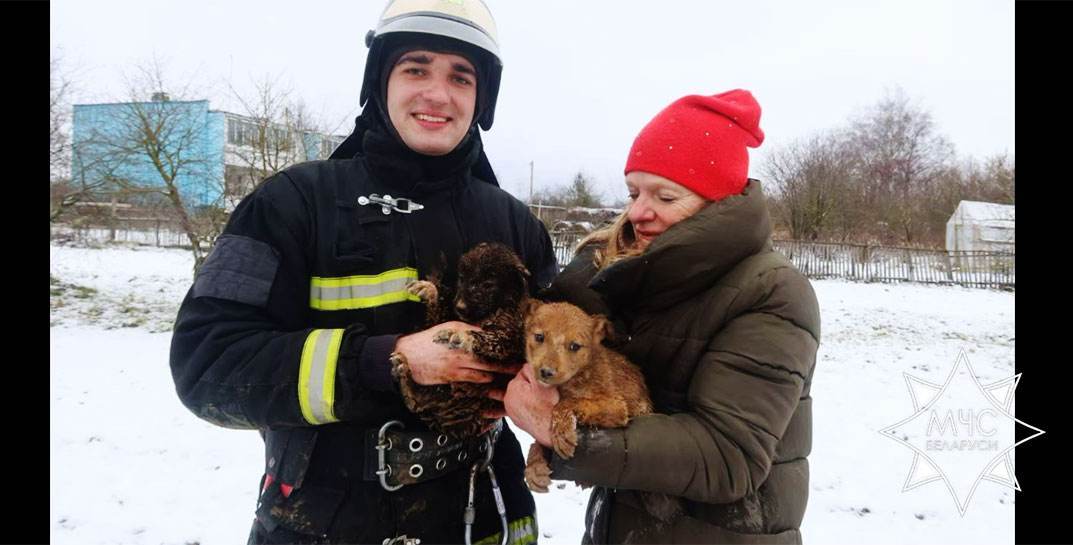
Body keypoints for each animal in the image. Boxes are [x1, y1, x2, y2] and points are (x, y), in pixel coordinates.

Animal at [392, 242, 530, 437]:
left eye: (488, 284)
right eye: (462, 278)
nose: (460, 307)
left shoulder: (513, 339)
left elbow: (490, 338)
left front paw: (460, 334)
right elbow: (439, 314)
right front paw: (430, 290)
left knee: (418, 401)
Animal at [521, 302, 648, 493]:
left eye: (575, 346)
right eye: (539, 337)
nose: (546, 372)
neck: (581, 374)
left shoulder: (616, 406)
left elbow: (567, 403)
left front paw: (562, 433)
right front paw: (534, 465)